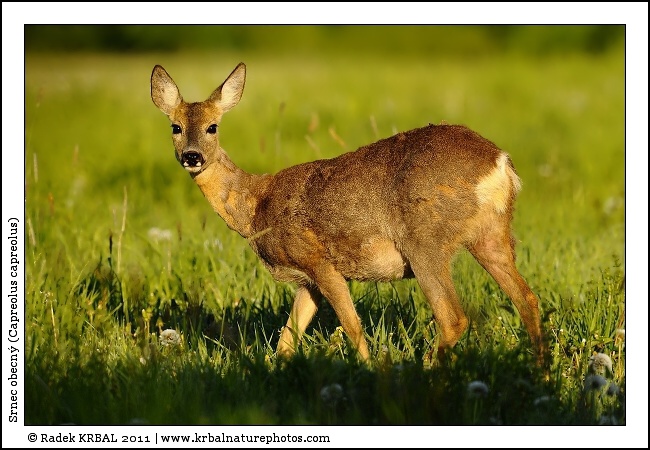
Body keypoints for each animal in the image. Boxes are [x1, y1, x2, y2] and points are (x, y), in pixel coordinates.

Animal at [151, 62, 546, 365]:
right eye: (175, 126)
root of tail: (500, 163)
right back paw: (540, 375)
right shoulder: (307, 279)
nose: (192, 156)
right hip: (491, 234)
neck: (256, 206)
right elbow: (286, 339)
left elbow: (353, 327)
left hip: (425, 241)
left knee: (453, 317)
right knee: (527, 299)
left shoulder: (320, 261)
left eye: (212, 126)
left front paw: (371, 371)